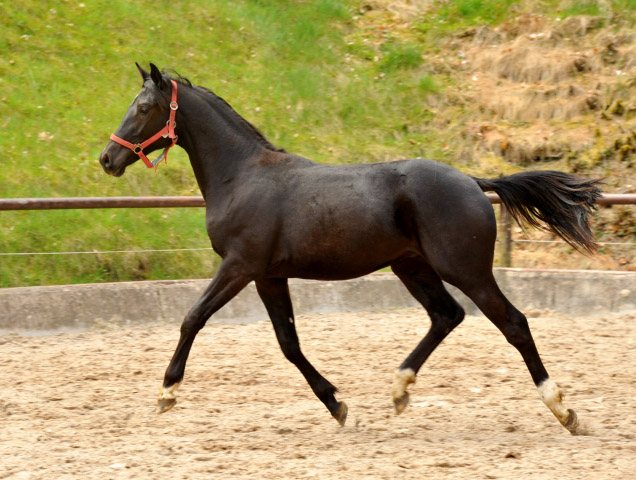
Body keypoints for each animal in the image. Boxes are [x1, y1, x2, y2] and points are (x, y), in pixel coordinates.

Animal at [99, 63, 600, 436]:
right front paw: (337, 404)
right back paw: (399, 390)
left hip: (466, 269)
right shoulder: (268, 275)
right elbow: (288, 343)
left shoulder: (240, 266)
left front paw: (167, 393)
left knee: (513, 323)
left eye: (143, 107)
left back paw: (564, 410)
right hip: (412, 267)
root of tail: (473, 182)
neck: (241, 176)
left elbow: (193, 318)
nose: (107, 159)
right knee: (446, 315)